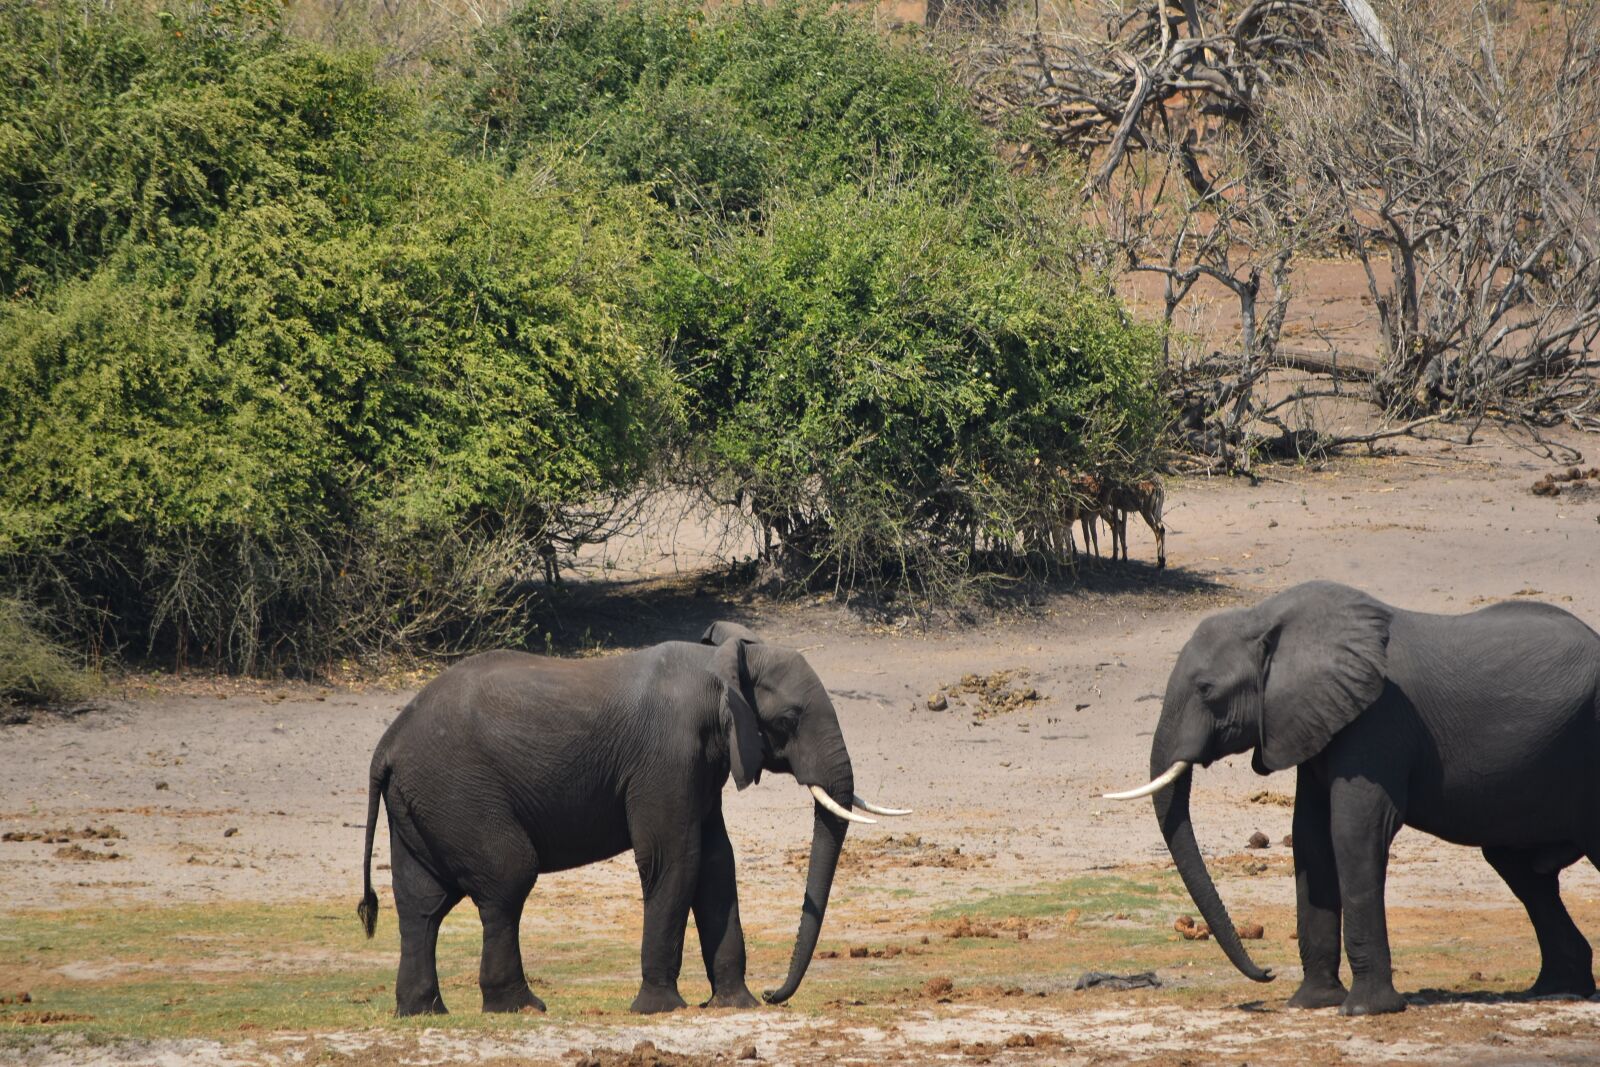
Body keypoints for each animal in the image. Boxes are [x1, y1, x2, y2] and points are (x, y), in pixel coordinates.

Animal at [356, 621, 908, 1016]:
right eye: (790, 719)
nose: (775, 993)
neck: (718, 664)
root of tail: (387, 744)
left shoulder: (700, 763)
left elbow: (716, 864)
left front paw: (736, 1005)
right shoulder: (666, 756)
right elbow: (674, 859)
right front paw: (659, 1009)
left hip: (425, 801)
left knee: (422, 904)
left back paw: (423, 1012)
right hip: (458, 791)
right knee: (507, 879)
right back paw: (520, 1007)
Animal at [1105, 580, 1600, 1015]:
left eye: (1207, 690)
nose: (1266, 972)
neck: (1266, 619)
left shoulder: (1377, 720)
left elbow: (1353, 832)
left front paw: (1364, 1010)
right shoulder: (1317, 720)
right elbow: (1310, 839)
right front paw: (1311, 1003)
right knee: (1521, 872)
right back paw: (1556, 990)